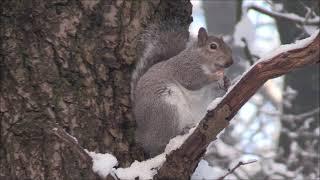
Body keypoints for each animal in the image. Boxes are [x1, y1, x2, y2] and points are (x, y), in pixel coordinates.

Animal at [131, 23, 234, 156]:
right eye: (213, 46)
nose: (230, 62)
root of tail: (143, 135)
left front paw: (226, 82)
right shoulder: (184, 69)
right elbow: (194, 81)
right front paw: (215, 76)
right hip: (166, 108)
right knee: (161, 143)